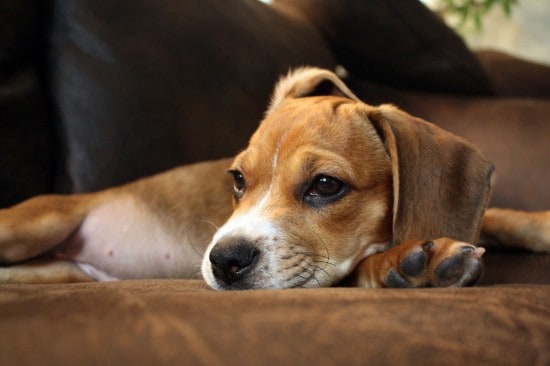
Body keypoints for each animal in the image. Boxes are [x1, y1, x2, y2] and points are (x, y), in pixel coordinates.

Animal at [1, 67, 550, 288]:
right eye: (237, 180)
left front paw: (541, 223)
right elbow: (358, 266)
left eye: (326, 185)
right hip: (31, 227)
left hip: (56, 270)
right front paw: (410, 264)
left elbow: (499, 213)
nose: (221, 261)